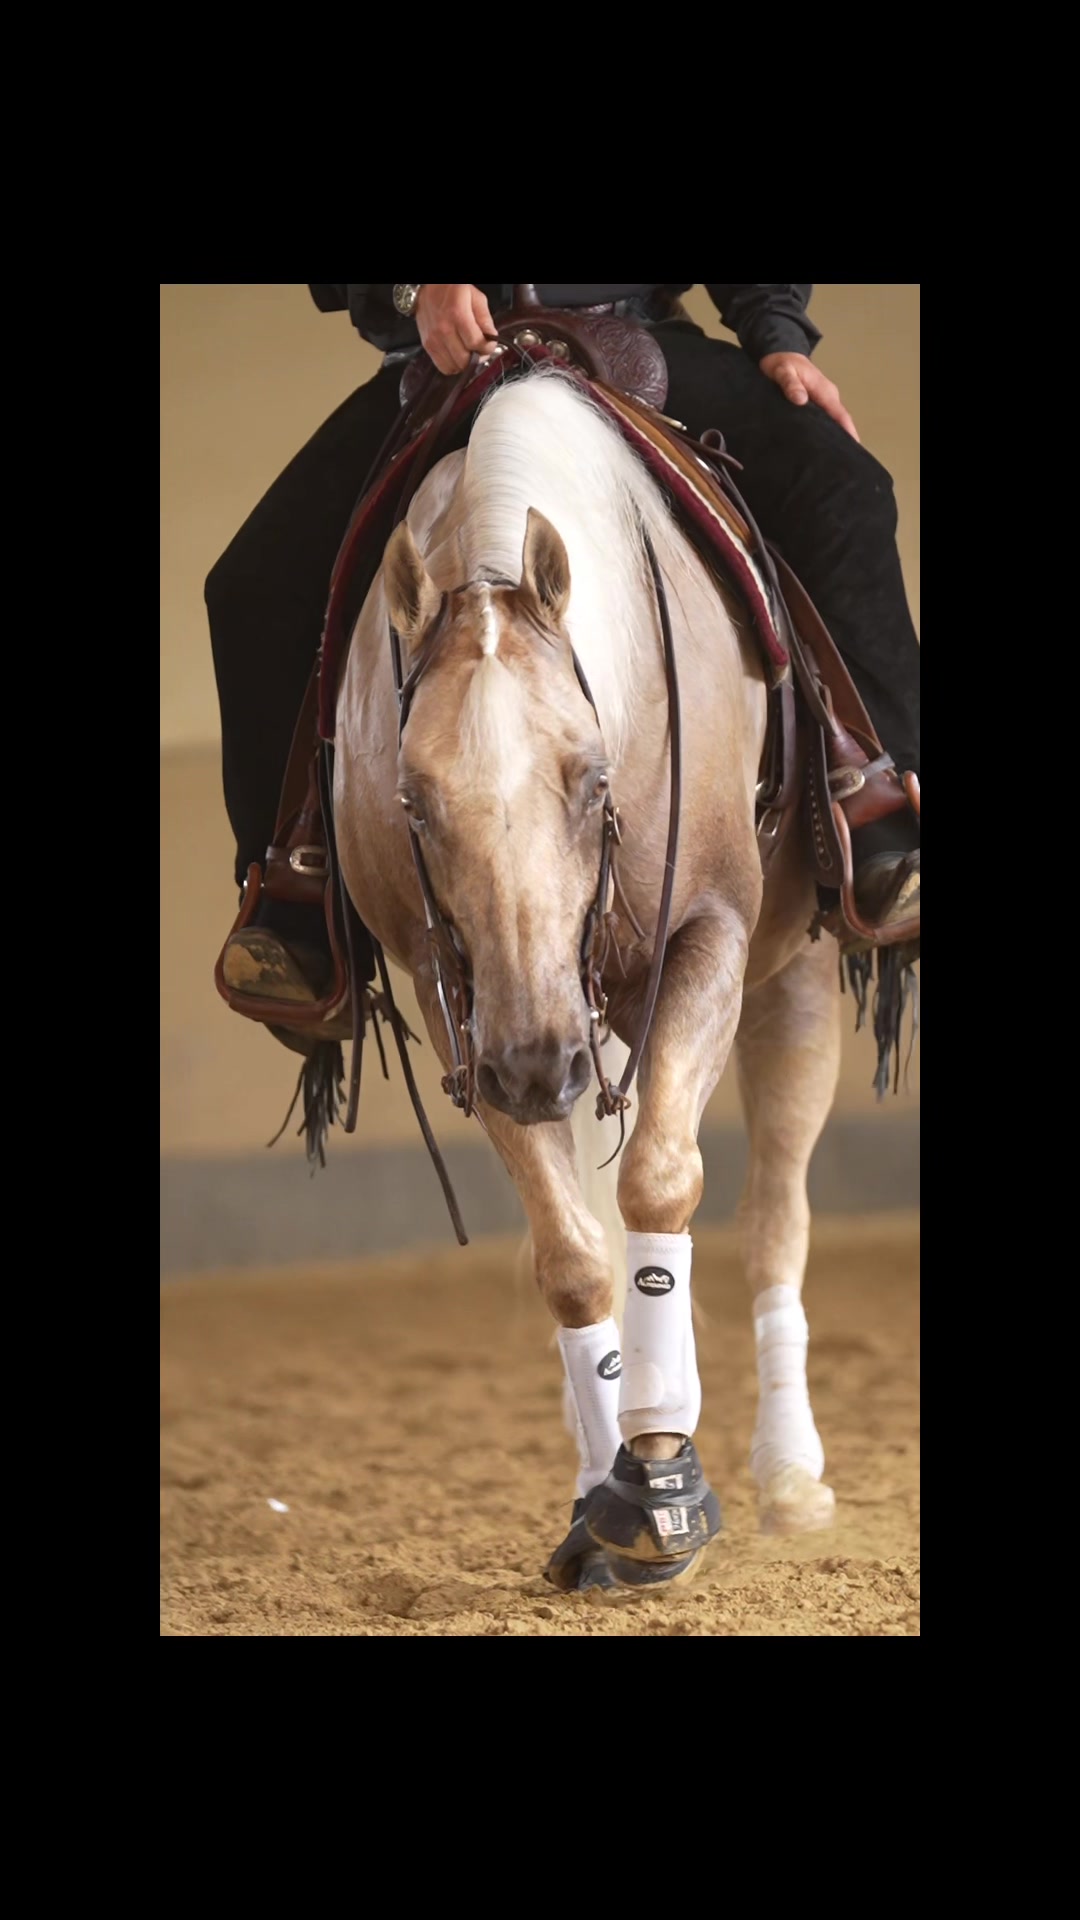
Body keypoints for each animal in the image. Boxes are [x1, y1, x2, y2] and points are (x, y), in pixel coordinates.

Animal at [334, 366, 840, 1590]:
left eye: (593, 777)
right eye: (412, 800)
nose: (533, 1065)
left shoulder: (706, 940)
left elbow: (662, 1185)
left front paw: (660, 1484)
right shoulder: (467, 1007)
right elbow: (571, 1254)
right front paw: (604, 1489)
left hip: (784, 981)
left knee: (774, 1215)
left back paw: (790, 1476)